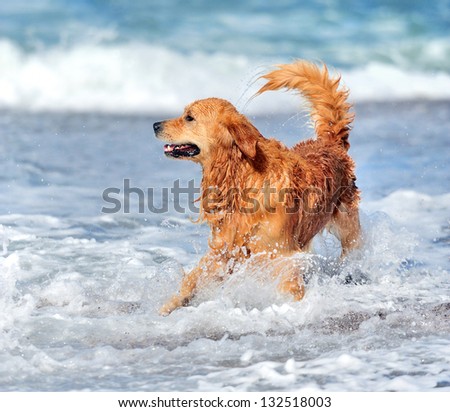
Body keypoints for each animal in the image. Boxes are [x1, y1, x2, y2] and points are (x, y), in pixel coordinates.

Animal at [153, 60, 360, 316]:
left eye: (189, 118)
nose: (155, 125)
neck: (240, 174)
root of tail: (330, 143)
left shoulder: (281, 254)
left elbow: (290, 287)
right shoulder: (225, 247)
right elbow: (193, 278)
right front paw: (169, 305)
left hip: (348, 226)